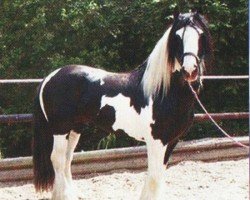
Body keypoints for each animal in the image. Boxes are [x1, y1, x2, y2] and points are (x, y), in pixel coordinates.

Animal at [32, 11, 213, 199]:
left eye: (200, 35)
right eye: (177, 37)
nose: (190, 70)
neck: (163, 90)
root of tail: (49, 77)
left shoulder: (171, 141)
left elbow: (158, 176)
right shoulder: (156, 141)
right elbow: (154, 177)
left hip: (75, 128)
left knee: (67, 159)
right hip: (60, 129)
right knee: (58, 159)